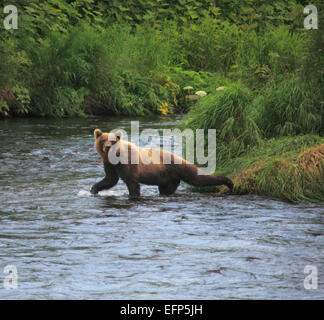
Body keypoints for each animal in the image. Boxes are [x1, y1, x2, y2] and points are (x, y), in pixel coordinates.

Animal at [90, 129, 233, 196]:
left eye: (113, 140)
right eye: (103, 140)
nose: (108, 147)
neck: (116, 158)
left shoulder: (128, 164)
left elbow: (132, 183)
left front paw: (134, 195)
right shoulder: (109, 164)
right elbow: (110, 179)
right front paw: (93, 190)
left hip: (178, 167)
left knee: (198, 177)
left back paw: (228, 182)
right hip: (167, 178)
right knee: (166, 190)